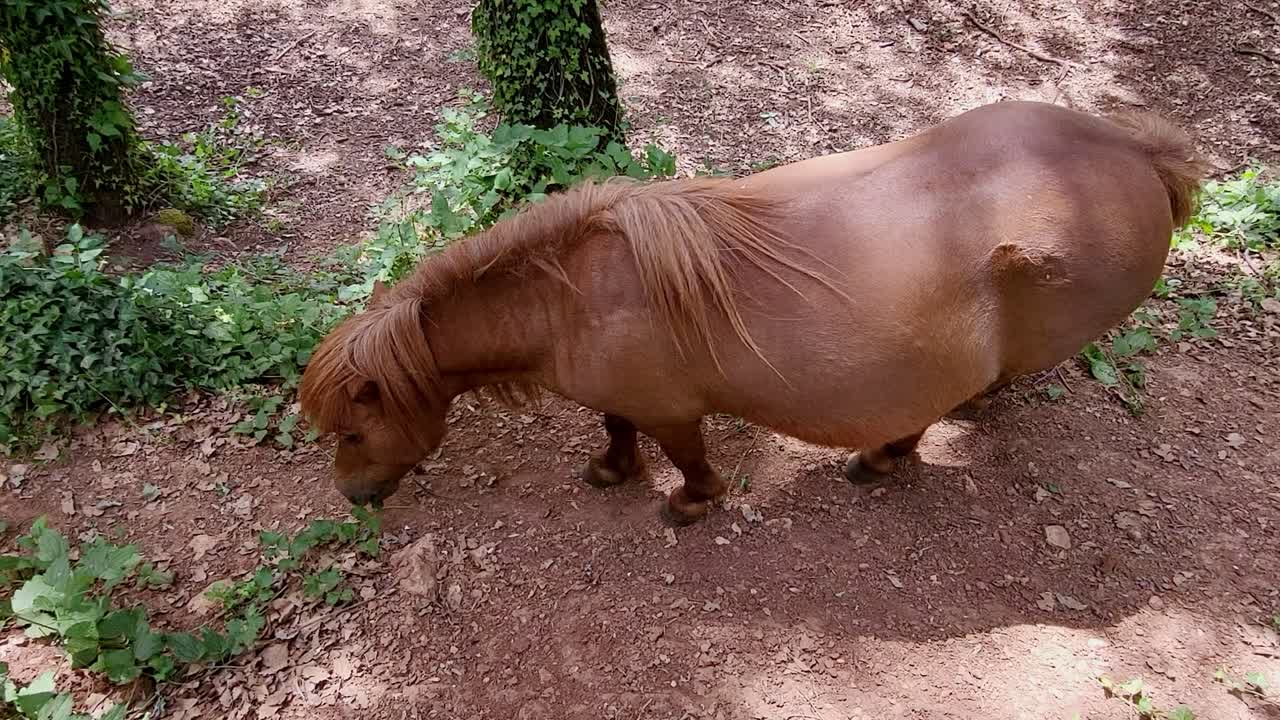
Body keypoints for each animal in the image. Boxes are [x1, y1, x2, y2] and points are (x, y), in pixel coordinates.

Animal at [299, 100, 1207, 525]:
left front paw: (687, 503)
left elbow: (685, 457)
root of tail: (1135, 151)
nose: (353, 496)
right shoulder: (620, 398)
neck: (573, 298)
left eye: (351, 430)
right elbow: (612, 428)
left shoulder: (673, 411)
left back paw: (883, 456)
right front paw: (609, 470)